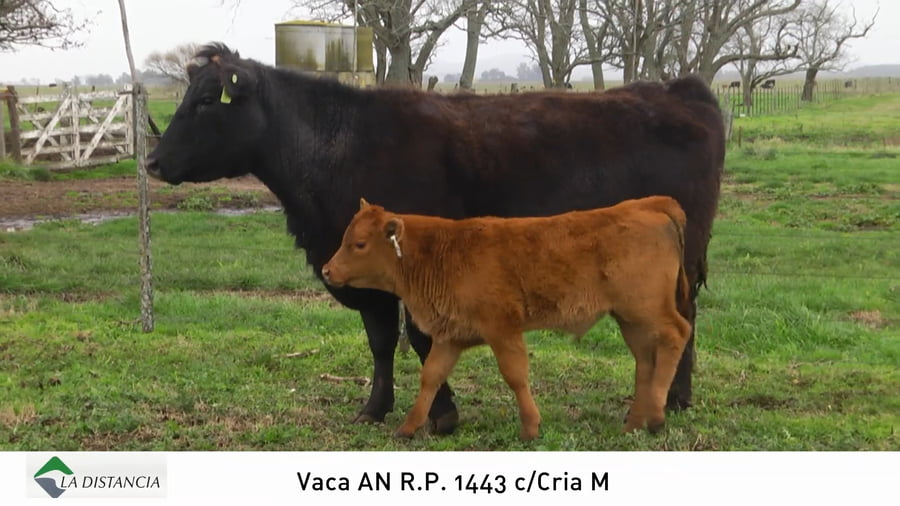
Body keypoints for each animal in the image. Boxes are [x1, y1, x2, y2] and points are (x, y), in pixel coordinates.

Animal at [322, 197, 692, 440]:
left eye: (359, 244)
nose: (327, 270)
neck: (441, 252)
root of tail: (648, 205)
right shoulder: (450, 337)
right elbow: (431, 377)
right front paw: (407, 427)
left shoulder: (502, 330)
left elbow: (515, 375)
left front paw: (530, 427)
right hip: (629, 319)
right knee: (645, 360)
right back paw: (634, 424)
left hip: (646, 310)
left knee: (677, 333)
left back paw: (656, 417)